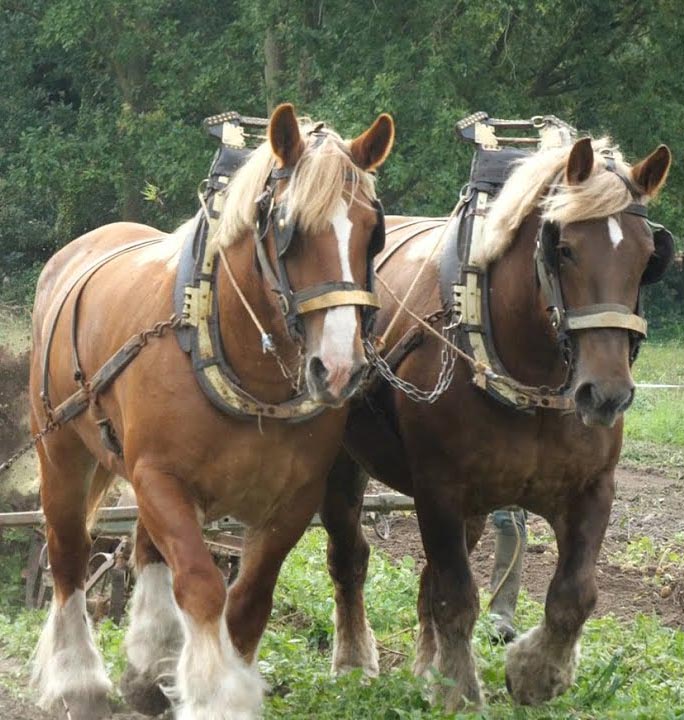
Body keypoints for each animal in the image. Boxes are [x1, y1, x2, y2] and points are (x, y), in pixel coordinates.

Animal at [28, 102, 396, 720]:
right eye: (289, 230)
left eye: (373, 232)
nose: (340, 369)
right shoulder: (160, 477)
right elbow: (202, 583)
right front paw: (214, 695)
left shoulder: (293, 499)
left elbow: (249, 600)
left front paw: (220, 682)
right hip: (62, 451)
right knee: (70, 556)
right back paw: (79, 681)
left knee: (145, 548)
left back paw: (150, 670)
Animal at [320, 138, 672, 712]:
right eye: (564, 248)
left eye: (647, 256)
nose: (606, 394)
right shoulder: (438, 489)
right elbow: (456, 596)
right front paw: (461, 692)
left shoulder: (593, 488)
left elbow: (575, 594)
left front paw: (535, 673)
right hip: (342, 467)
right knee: (350, 557)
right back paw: (353, 663)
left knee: (425, 578)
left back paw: (425, 668)